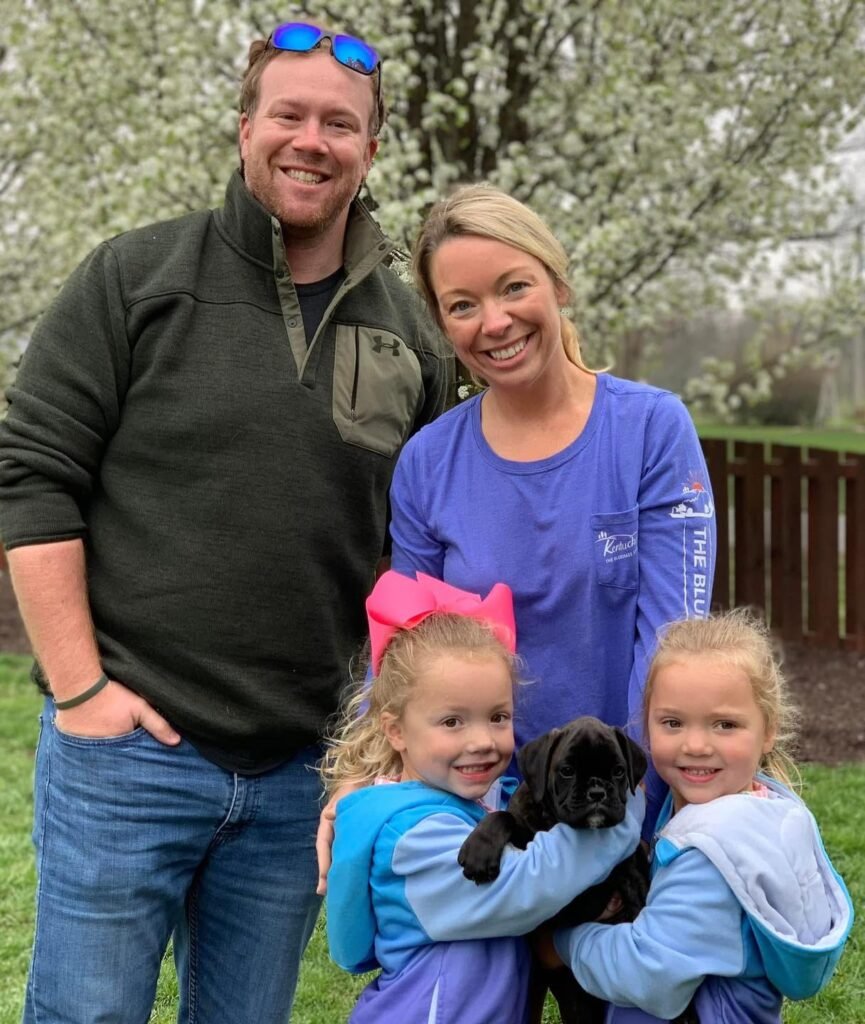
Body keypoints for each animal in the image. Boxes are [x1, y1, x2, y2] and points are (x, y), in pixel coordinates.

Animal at [458, 716, 698, 1024]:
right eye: (567, 771)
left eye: (619, 771)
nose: (597, 792)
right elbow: (503, 816)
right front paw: (479, 849)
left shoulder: (632, 875)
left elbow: (642, 916)